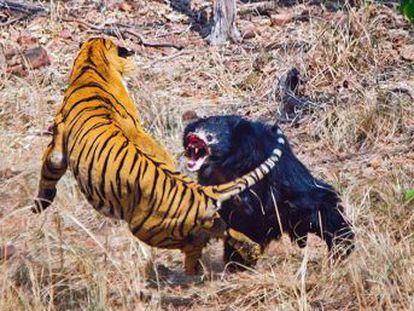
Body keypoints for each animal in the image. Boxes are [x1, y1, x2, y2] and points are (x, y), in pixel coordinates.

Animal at [34, 37, 284, 276]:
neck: (92, 62)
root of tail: (201, 191)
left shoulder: (57, 146)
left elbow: (49, 168)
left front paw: (40, 204)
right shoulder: (137, 127)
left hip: (146, 229)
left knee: (195, 244)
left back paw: (192, 271)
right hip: (203, 221)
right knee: (225, 230)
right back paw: (248, 252)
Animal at [183, 116, 354, 270]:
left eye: (210, 136)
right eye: (192, 132)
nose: (192, 136)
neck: (224, 162)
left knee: (326, 213)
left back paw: (341, 249)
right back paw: (238, 264)